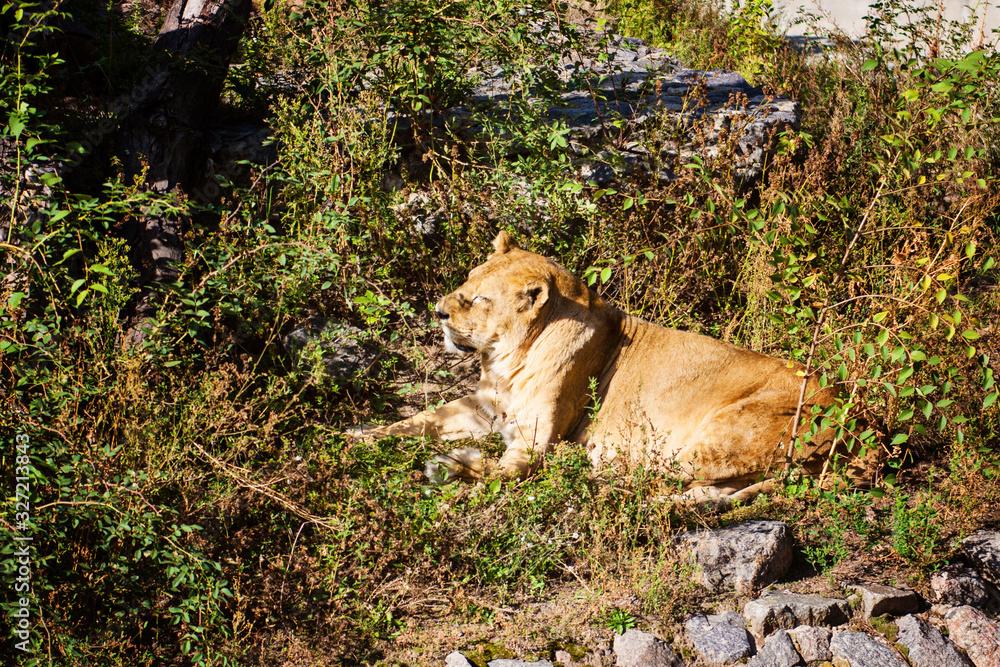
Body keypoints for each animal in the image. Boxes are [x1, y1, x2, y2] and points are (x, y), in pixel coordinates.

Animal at [357, 231, 865, 503]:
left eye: (480, 298)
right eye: (466, 280)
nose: (438, 311)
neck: (508, 359)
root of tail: (858, 431)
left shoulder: (535, 439)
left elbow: (504, 473)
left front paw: (454, 470)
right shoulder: (482, 407)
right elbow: (418, 421)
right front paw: (355, 438)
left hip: (722, 433)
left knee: (639, 476)